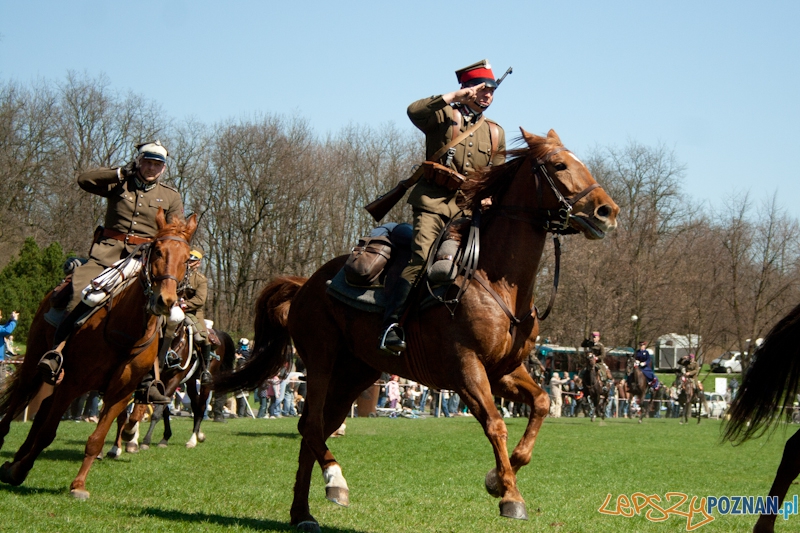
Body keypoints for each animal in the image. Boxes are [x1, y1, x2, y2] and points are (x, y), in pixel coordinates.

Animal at [0, 209, 197, 498]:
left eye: (186, 259)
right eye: (158, 251)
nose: (166, 301)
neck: (125, 331)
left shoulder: (119, 394)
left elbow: (96, 439)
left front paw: (78, 484)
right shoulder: (73, 383)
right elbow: (48, 431)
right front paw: (20, 470)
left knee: (44, 406)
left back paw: (17, 459)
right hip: (35, 362)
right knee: (19, 400)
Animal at [108, 326, 236, 456]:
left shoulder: (173, 380)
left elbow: (156, 412)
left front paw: (144, 441)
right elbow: (156, 409)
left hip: (206, 383)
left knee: (201, 406)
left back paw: (192, 440)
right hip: (190, 382)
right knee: (195, 405)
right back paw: (198, 435)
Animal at [214, 130, 620, 532]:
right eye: (559, 165)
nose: (608, 211)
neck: (496, 282)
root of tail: (306, 285)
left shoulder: (502, 372)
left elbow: (540, 403)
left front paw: (497, 478)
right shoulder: (466, 371)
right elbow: (495, 424)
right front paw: (510, 496)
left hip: (355, 374)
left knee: (312, 430)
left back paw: (302, 513)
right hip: (322, 363)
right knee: (311, 425)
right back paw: (335, 482)